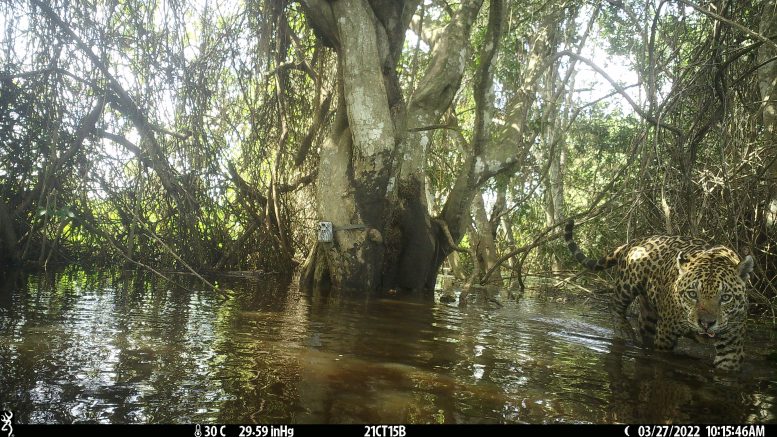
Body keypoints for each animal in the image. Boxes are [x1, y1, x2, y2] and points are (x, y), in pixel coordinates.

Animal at [564, 219, 753, 371]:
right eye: (692, 294)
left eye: (726, 297)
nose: (706, 324)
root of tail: (636, 240)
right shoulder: (665, 334)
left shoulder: (731, 347)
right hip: (628, 283)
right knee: (614, 303)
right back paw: (624, 331)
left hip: (648, 312)